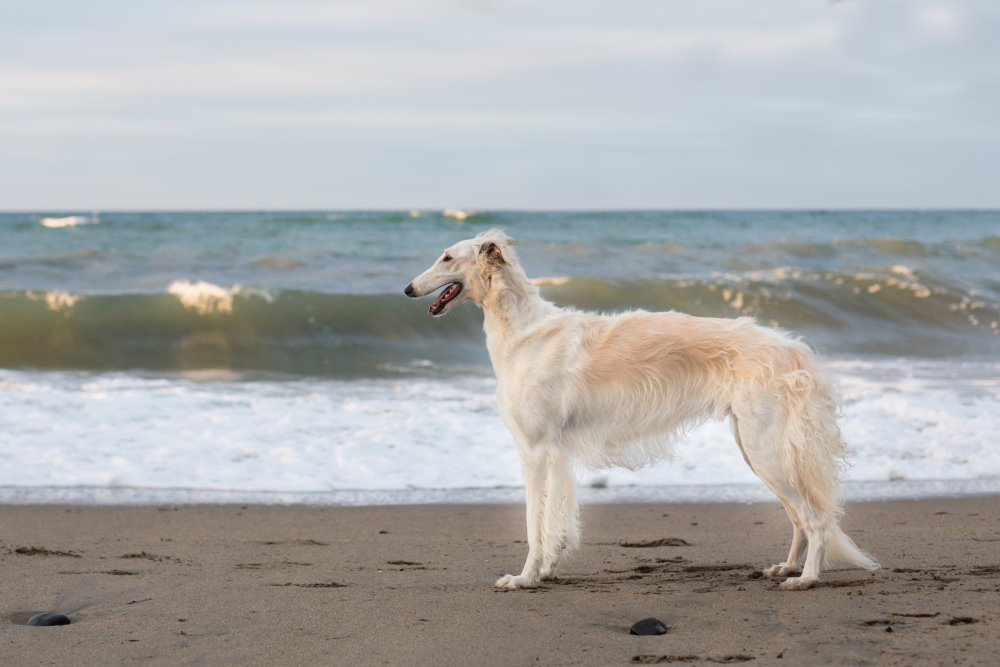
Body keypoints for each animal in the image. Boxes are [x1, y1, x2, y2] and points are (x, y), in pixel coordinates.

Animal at [404, 228, 876, 588]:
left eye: (447, 257)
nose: (407, 288)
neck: (525, 333)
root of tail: (792, 348)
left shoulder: (534, 450)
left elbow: (534, 526)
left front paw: (523, 578)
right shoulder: (556, 455)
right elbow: (556, 520)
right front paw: (546, 571)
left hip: (765, 450)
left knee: (815, 519)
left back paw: (807, 578)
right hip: (756, 448)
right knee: (799, 517)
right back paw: (789, 566)